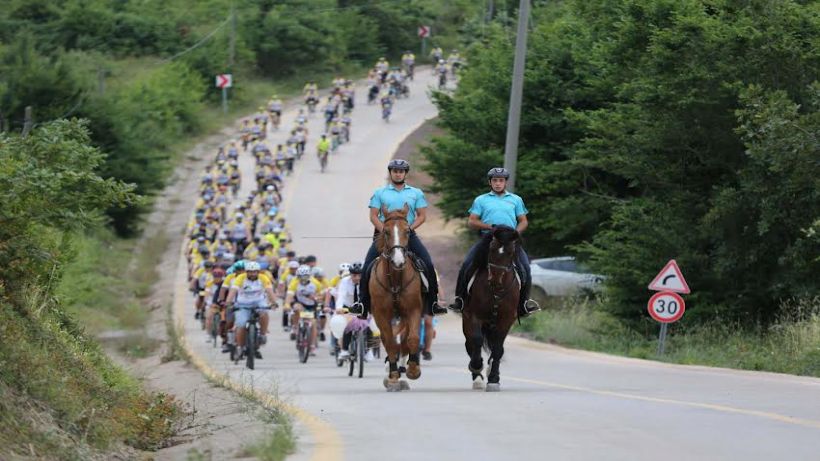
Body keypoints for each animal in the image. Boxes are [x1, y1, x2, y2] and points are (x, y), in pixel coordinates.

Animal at [370, 205, 422, 392]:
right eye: (386, 232)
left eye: (407, 231)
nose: (398, 261)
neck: (395, 279)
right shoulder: (381, 314)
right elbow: (390, 343)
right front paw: (393, 376)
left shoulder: (414, 309)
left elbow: (412, 338)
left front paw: (413, 370)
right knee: (389, 341)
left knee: (405, 339)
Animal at [462, 225, 520, 390]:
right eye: (492, 248)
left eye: (511, 252)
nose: (495, 279)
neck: (496, 290)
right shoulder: (473, 316)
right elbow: (476, 341)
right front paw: (476, 367)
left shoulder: (507, 319)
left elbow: (498, 348)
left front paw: (493, 378)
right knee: (470, 343)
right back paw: (477, 375)